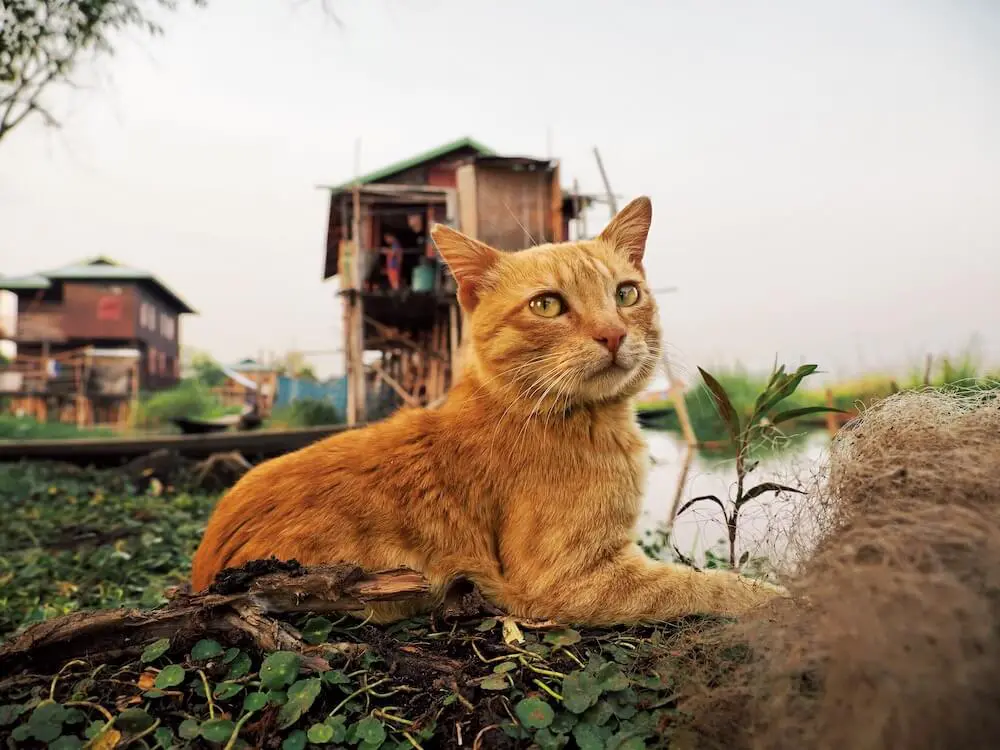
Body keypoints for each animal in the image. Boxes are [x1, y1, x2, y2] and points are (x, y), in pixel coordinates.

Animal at [191, 197, 784, 624]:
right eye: (547, 304)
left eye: (626, 294)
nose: (613, 334)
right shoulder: (571, 580)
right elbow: (707, 585)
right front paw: (778, 598)